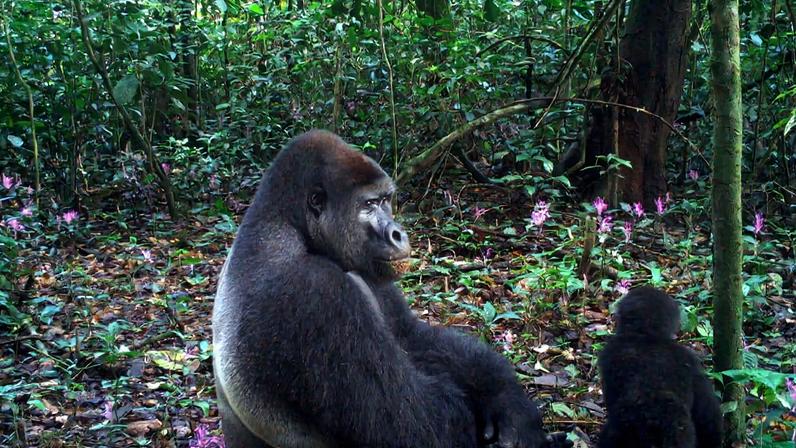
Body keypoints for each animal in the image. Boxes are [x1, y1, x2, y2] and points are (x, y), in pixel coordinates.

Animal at [213, 130, 570, 448]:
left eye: (386, 200)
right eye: (368, 204)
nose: (398, 233)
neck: (289, 225)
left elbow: (411, 335)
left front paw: (509, 401)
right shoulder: (316, 289)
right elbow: (413, 427)